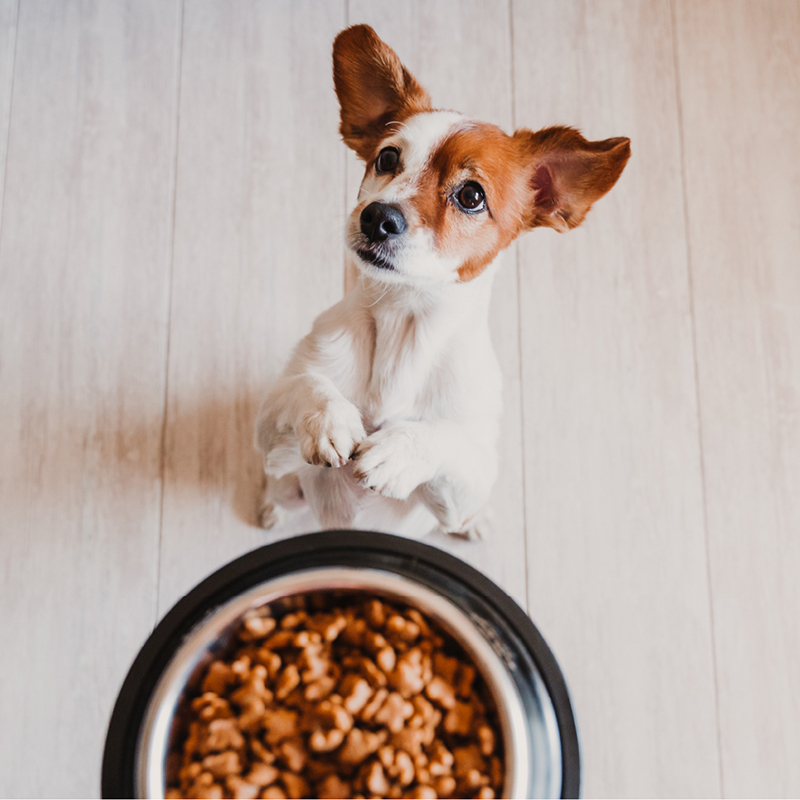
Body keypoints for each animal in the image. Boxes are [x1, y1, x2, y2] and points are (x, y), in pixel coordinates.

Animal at [256, 23, 632, 536]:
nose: (377, 217)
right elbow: (304, 387)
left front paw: (399, 451)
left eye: (471, 196)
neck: (403, 321)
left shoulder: (473, 471)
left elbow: (446, 440)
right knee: (281, 488)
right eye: (386, 158)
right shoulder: (271, 429)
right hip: (287, 482)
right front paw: (329, 419)